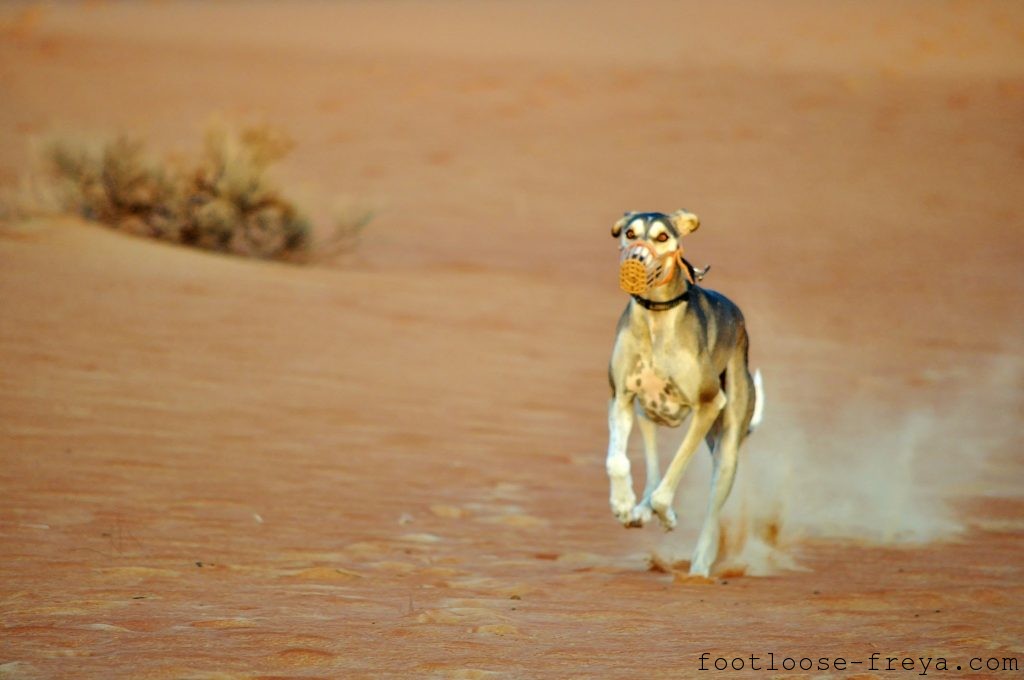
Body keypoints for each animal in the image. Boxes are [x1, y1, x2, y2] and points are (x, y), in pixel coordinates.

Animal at [602, 209, 765, 577]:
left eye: (663, 237)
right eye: (630, 233)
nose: (636, 259)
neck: (655, 320)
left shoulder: (708, 405)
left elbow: (670, 482)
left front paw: (666, 515)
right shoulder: (621, 398)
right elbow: (617, 460)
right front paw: (623, 505)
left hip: (726, 447)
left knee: (711, 510)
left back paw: (700, 565)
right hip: (648, 414)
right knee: (651, 470)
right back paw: (640, 510)